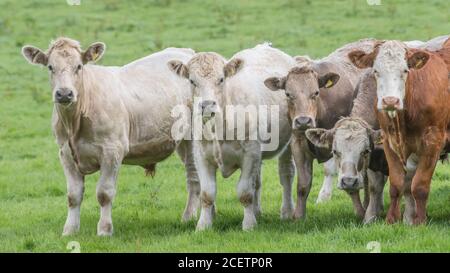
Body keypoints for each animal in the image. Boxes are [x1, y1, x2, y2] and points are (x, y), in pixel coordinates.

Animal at [21, 37, 200, 235]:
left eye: (79, 66)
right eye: (50, 67)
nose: (64, 94)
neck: (75, 123)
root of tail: (187, 52)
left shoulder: (112, 151)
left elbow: (104, 193)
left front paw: (104, 230)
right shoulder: (65, 153)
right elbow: (73, 195)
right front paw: (70, 230)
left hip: (194, 137)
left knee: (193, 177)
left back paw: (188, 217)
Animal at [167, 43, 298, 230]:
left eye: (221, 79)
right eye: (192, 81)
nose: (207, 105)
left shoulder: (250, 154)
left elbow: (244, 192)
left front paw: (249, 225)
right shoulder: (202, 157)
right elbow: (207, 193)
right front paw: (203, 225)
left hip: (288, 143)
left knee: (286, 174)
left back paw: (287, 211)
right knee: (257, 182)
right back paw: (257, 212)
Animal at [348, 39, 450, 223]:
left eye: (405, 70)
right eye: (376, 71)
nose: (390, 101)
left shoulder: (433, 142)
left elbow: (419, 185)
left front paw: (420, 221)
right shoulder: (389, 141)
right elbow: (396, 184)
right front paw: (391, 219)